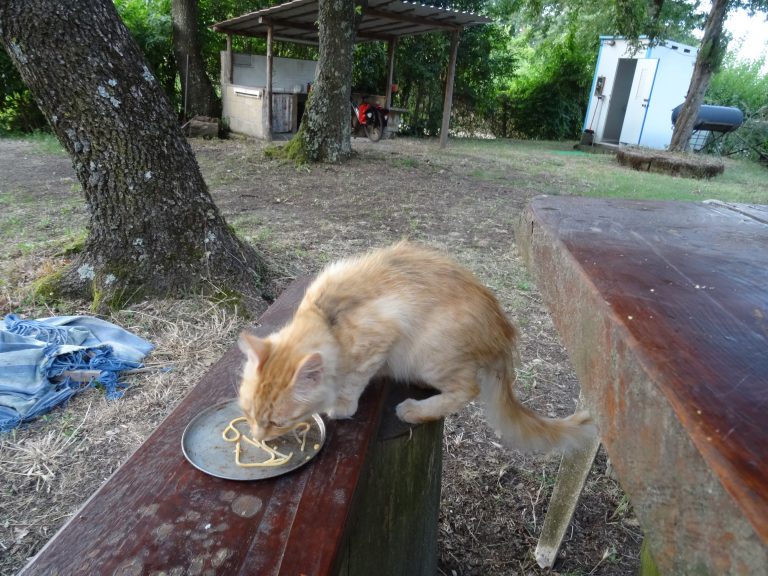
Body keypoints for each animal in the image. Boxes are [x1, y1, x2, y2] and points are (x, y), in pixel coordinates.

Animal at [238, 241, 592, 452]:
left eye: (275, 422)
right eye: (249, 414)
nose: (257, 437)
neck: (327, 319)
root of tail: (503, 331)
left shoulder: (380, 337)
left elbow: (353, 380)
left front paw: (342, 405)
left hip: (430, 354)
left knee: (468, 390)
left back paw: (414, 409)